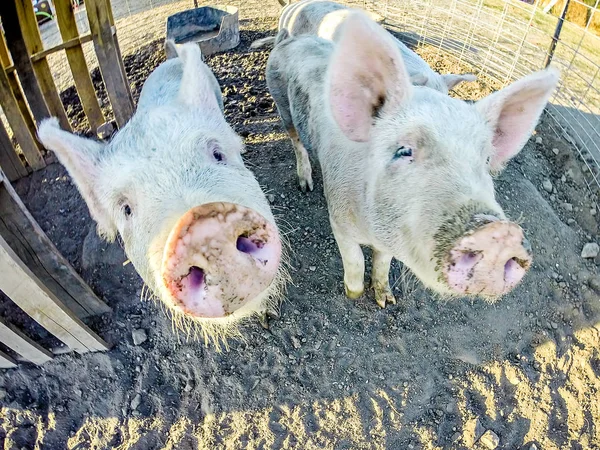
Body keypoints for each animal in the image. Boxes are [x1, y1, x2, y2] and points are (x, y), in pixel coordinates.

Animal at [266, 13, 556, 310]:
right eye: (404, 151)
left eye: (486, 159)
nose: (500, 234)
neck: (372, 229)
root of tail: (292, 39)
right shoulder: (338, 218)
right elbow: (355, 261)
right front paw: (354, 296)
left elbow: (382, 263)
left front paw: (386, 301)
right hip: (280, 100)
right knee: (296, 141)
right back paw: (306, 185)